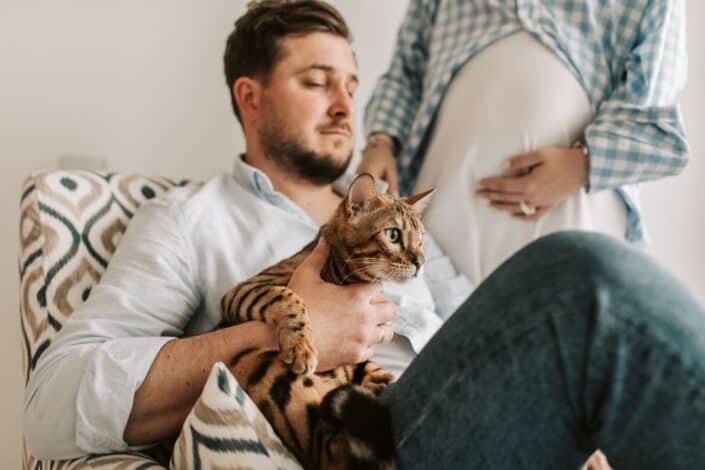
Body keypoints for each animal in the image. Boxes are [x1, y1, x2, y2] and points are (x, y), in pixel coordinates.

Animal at [217, 174, 432, 470]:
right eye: (393, 235)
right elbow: (289, 297)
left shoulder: (357, 359)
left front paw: (384, 380)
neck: (343, 273)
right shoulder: (242, 291)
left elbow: (370, 367)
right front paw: (301, 348)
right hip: (255, 362)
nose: (421, 262)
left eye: (421, 240)